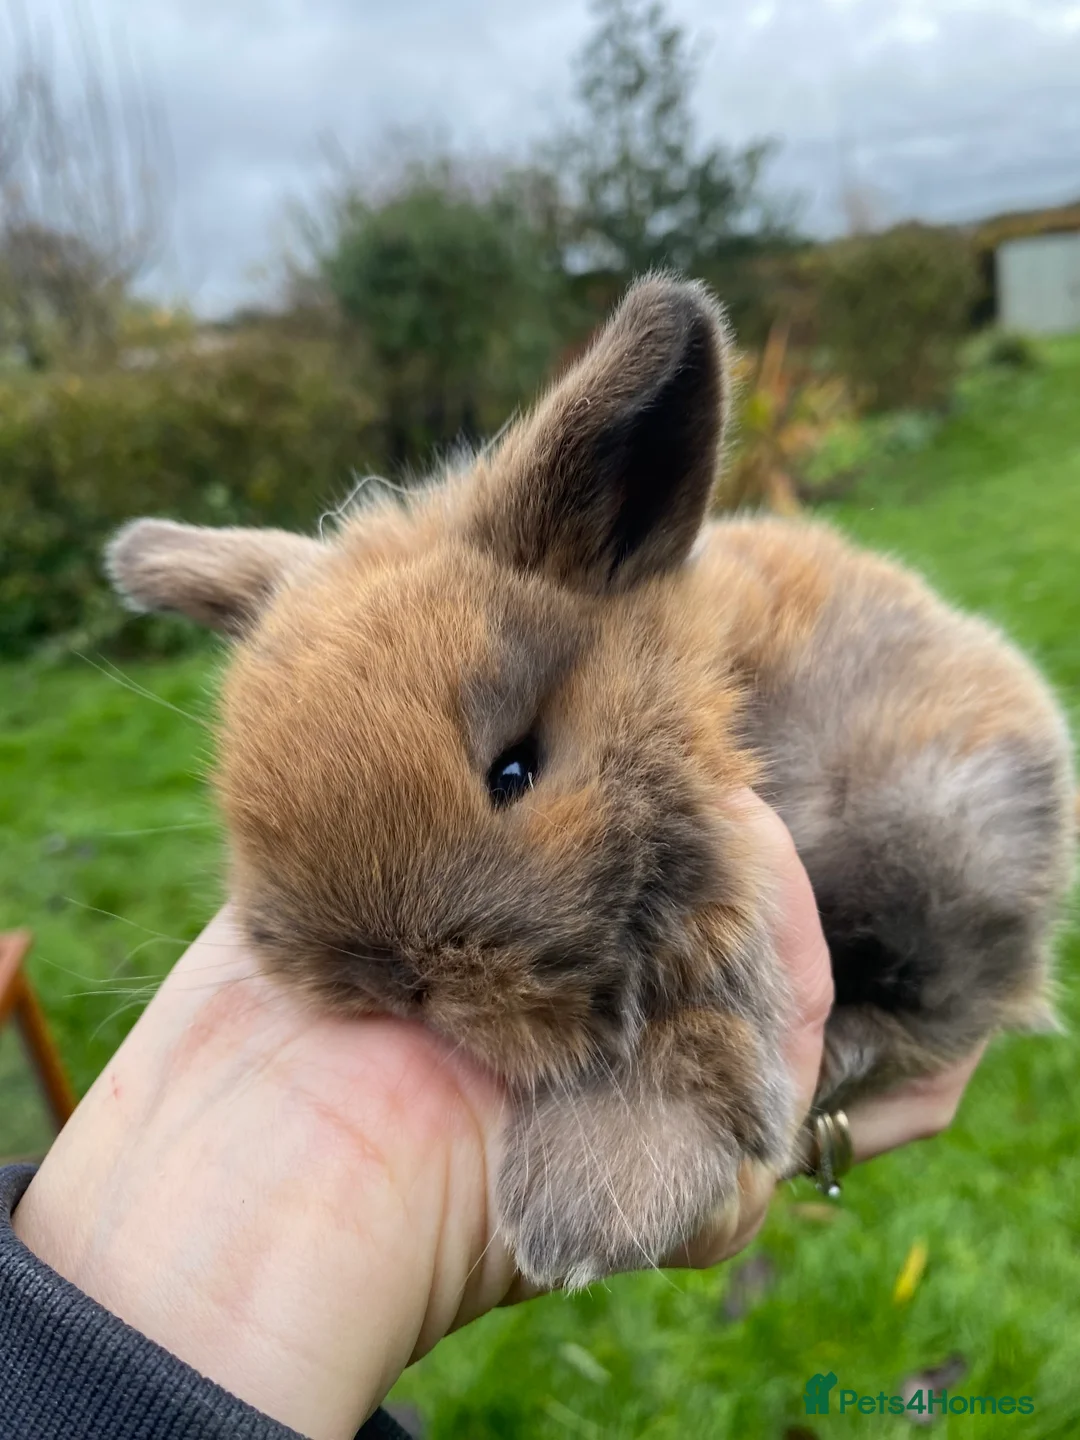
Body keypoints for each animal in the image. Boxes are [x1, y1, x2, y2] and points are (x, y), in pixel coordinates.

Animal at [105, 274, 1075, 1291]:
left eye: (515, 770)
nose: (394, 982)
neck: (691, 685)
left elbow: (699, 1037)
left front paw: (587, 1207)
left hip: (942, 848)